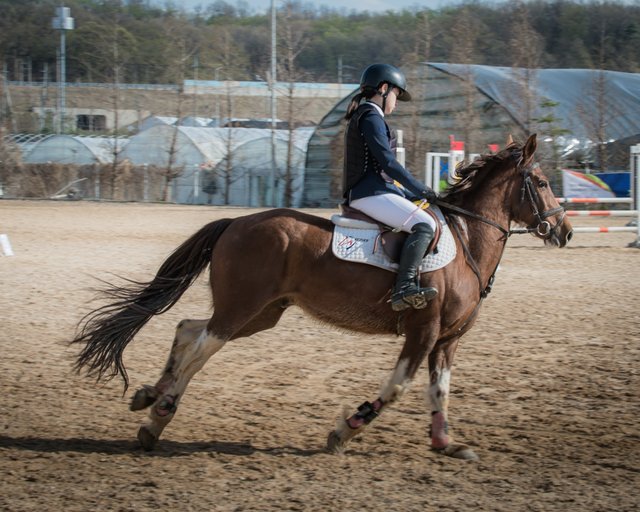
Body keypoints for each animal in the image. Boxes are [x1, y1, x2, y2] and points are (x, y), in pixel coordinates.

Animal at [72, 133, 572, 460]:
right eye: (544, 183)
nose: (564, 232)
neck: (468, 237)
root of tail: (235, 223)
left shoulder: (446, 342)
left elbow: (441, 392)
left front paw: (445, 444)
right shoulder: (423, 332)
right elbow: (397, 387)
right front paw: (346, 430)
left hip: (259, 314)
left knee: (187, 329)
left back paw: (151, 397)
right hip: (242, 308)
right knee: (201, 347)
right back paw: (159, 413)